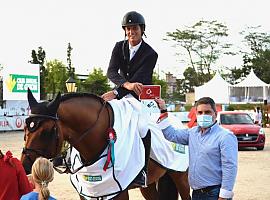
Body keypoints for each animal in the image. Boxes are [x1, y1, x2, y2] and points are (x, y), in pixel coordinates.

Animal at [21, 90, 190, 200]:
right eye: (25, 129)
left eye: (46, 131)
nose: (25, 165)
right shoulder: (88, 193)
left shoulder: (119, 191)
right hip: (149, 184)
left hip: (181, 177)